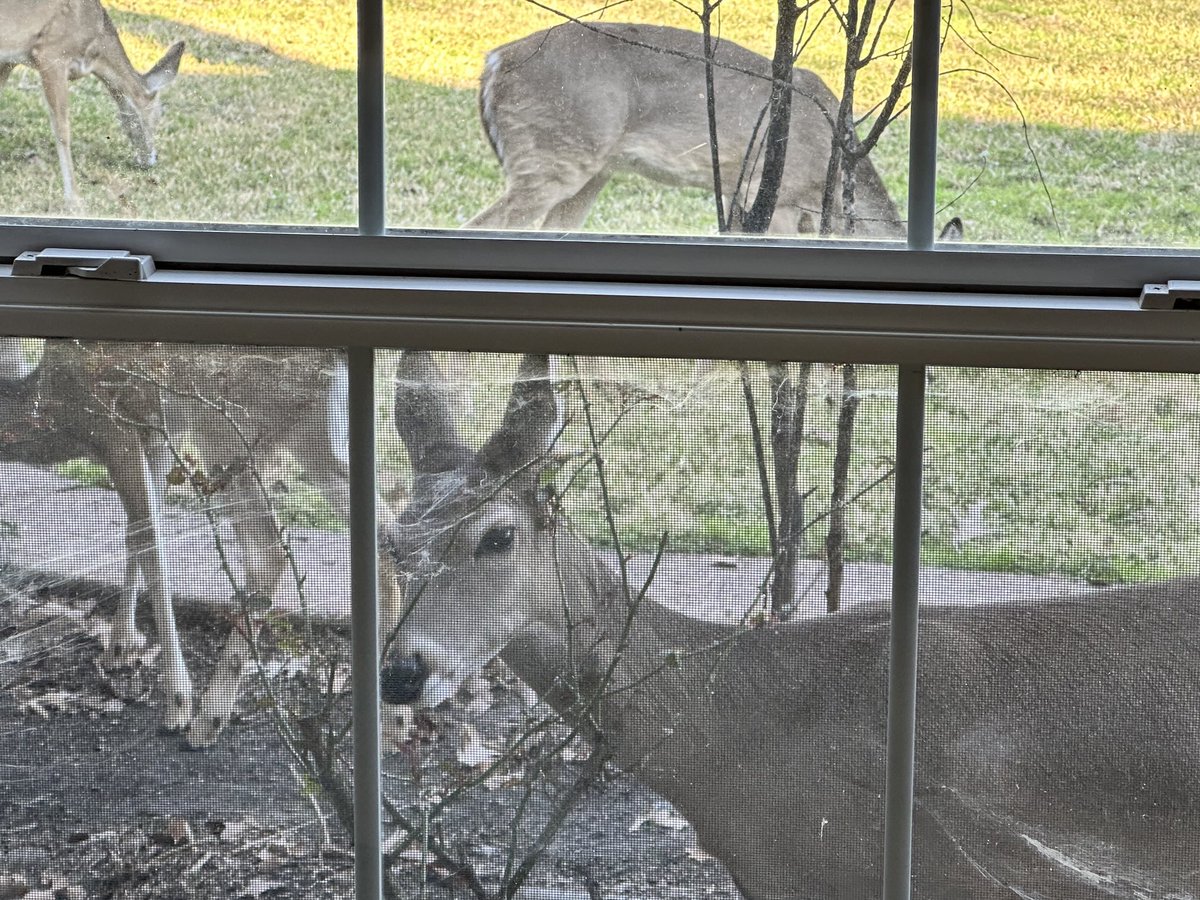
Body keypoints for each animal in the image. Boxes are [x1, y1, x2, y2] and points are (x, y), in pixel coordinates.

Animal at [0, 0, 185, 208]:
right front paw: (74, 198)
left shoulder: (10, 59)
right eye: (160, 114)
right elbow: (62, 131)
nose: (152, 159)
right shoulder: (51, 53)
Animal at [0, 339, 359, 749]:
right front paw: (121, 647)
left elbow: (149, 540)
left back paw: (207, 719)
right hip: (311, 437)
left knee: (268, 549)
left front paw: (177, 703)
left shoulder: (116, 426)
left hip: (228, 426)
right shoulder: (154, 435)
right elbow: (135, 531)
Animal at [467, 22, 962, 241]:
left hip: (592, 170)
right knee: (484, 224)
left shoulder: (738, 197)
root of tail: (494, 62)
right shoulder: (774, 193)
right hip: (553, 152)